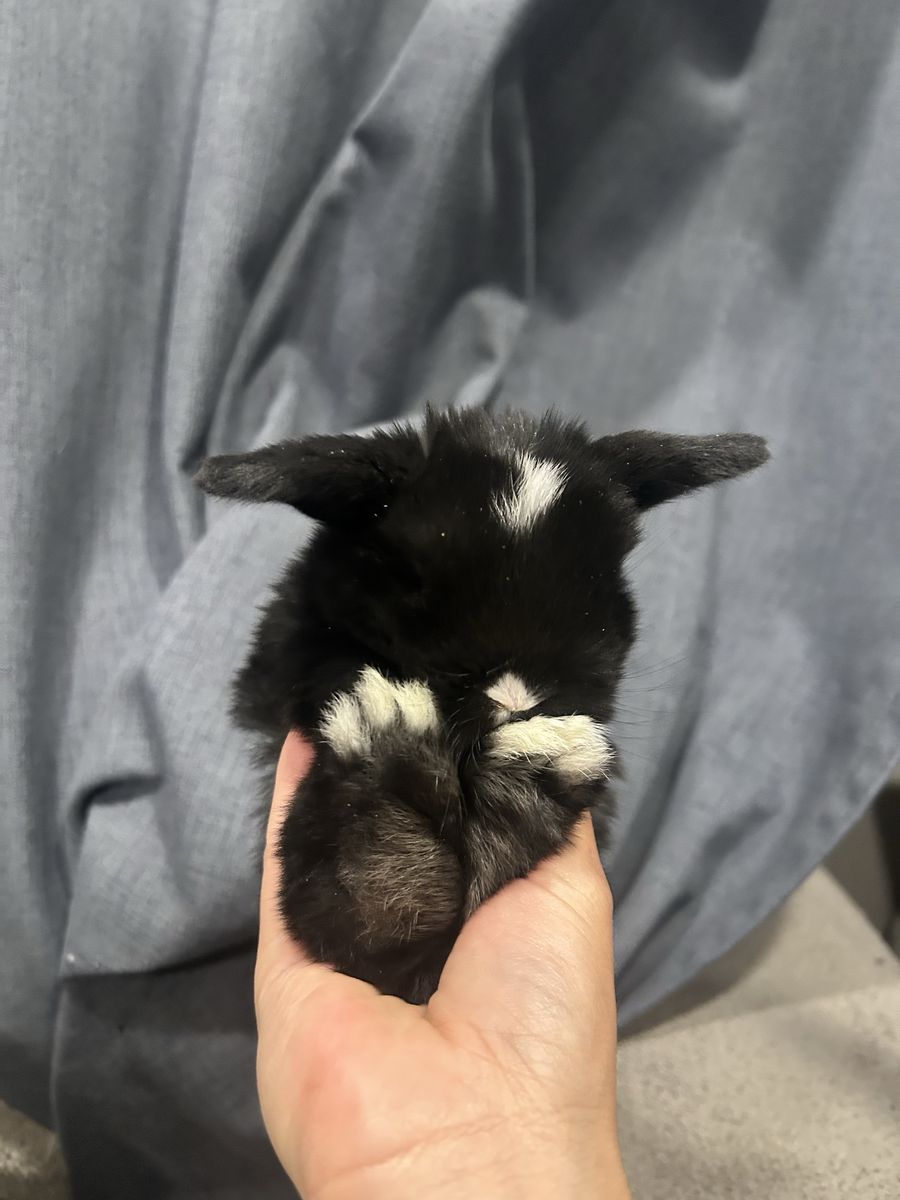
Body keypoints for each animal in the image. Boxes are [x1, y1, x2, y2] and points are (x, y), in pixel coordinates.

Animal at [195, 405, 768, 1003]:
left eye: (606, 582)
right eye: (410, 576)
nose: (515, 700)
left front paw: (545, 757)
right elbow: (371, 904)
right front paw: (383, 718)